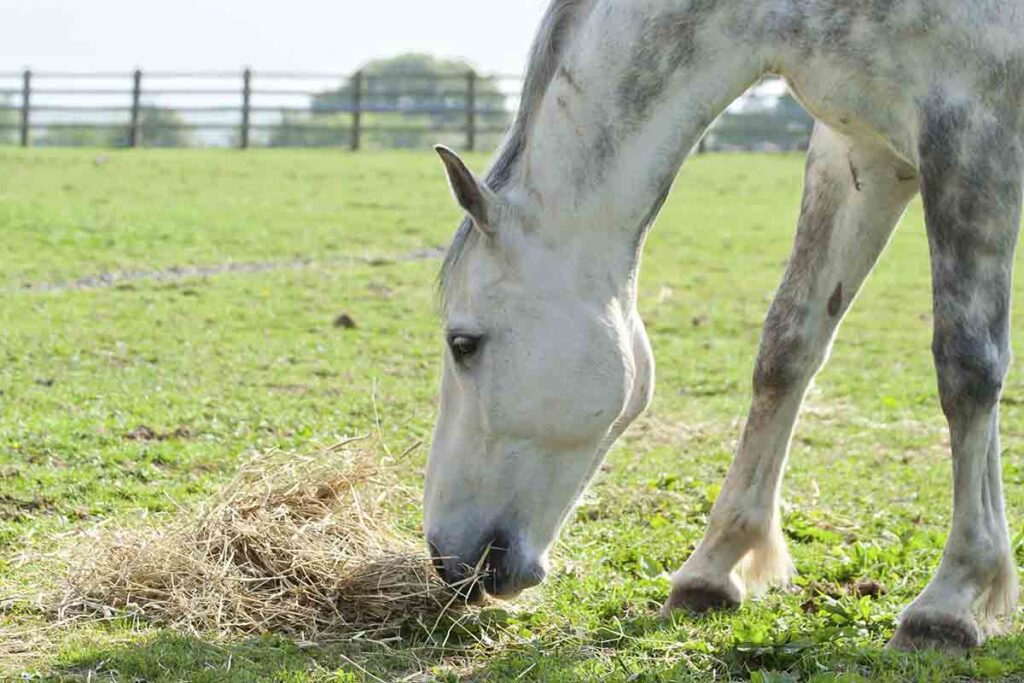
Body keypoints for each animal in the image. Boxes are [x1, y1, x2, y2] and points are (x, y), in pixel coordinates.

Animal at [422, 0, 1024, 653]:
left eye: (463, 344)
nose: (446, 558)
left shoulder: (974, 136)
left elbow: (967, 366)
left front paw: (951, 600)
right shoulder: (861, 155)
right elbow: (787, 348)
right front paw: (713, 568)